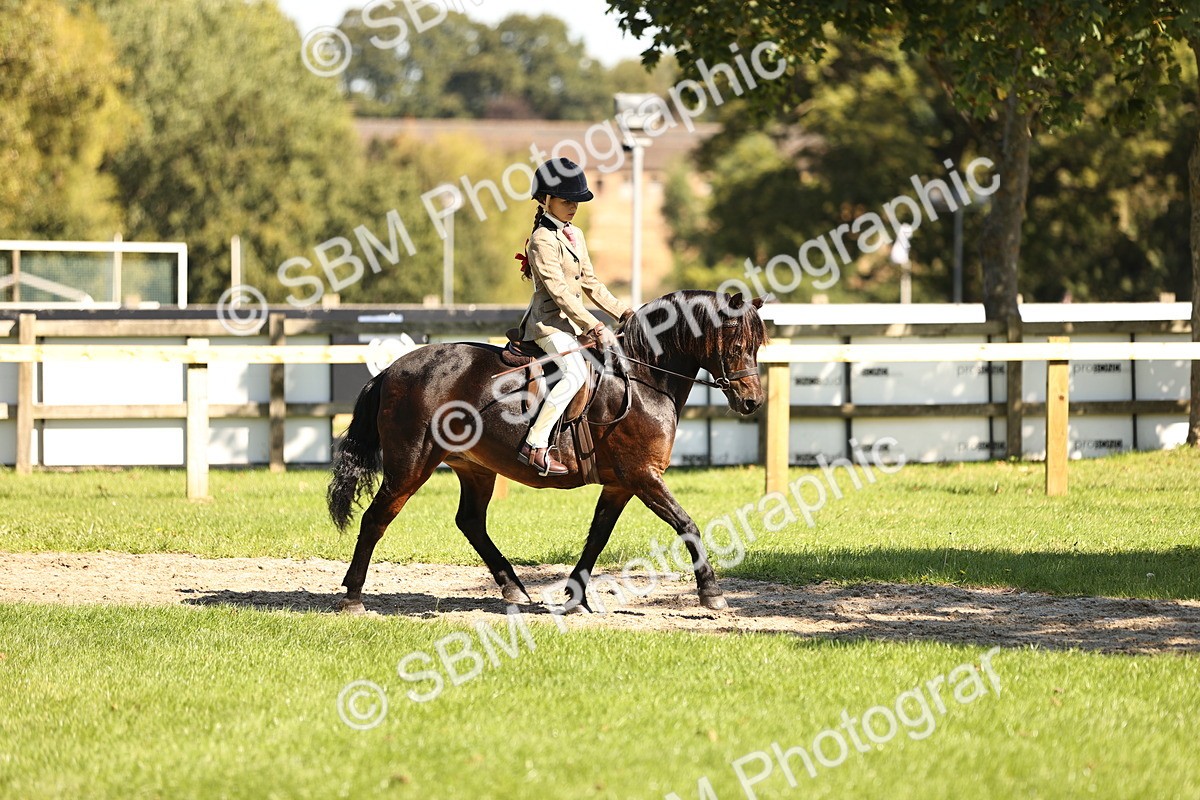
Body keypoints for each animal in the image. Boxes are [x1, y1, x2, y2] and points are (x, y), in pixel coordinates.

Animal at [326, 290, 768, 614]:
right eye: (736, 344)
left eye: (757, 346)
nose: (752, 402)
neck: (642, 377)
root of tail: (391, 370)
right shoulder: (643, 476)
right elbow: (687, 525)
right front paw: (712, 593)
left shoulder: (621, 485)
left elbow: (598, 537)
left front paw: (575, 596)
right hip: (411, 466)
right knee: (376, 519)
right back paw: (353, 598)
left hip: (475, 468)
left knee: (470, 522)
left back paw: (513, 588)